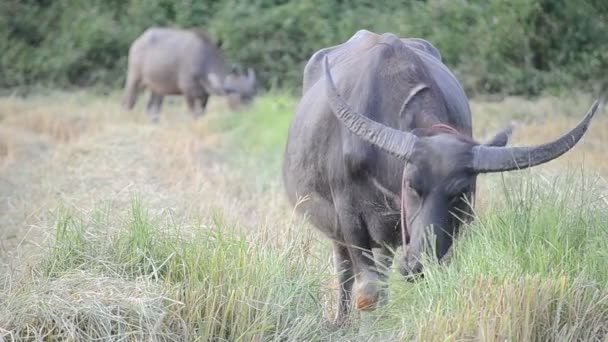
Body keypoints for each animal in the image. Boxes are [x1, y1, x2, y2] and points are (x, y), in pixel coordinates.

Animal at [121, 27, 256, 121]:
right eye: (242, 98)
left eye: (252, 96)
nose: (251, 114)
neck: (204, 58)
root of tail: (137, 42)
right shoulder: (188, 91)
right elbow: (193, 113)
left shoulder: (205, 95)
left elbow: (201, 112)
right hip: (134, 79)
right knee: (128, 101)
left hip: (157, 88)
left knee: (152, 106)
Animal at [282, 28, 596, 324]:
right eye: (411, 185)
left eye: (460, 192)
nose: (418, 265)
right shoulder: (349, 216)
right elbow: (367, 290)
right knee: (345, 268)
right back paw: (342, 319)